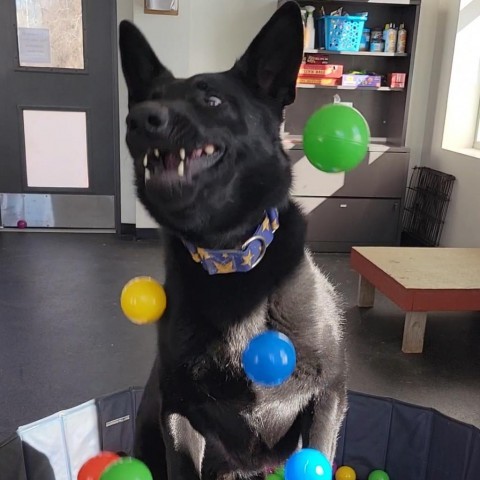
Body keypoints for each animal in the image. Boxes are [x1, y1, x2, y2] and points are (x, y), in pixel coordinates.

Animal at [119, 2, 344, 476]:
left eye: (212, 100)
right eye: (147, 99)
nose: (139, 118)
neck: (229, 259)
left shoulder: (329, 396)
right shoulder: (177, 410)